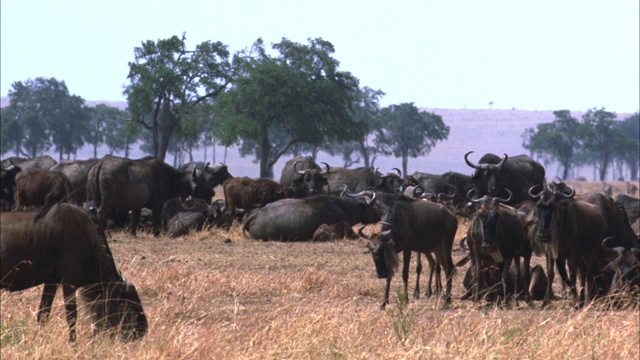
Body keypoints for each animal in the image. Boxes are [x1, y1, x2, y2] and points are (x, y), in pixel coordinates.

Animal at [0, 204, 148, 342]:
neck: (88, 240)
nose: (142, 331)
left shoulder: (51, 282)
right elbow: (71, 315)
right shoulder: (69, 283)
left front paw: (39, 339)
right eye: (129, 306)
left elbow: (44, 313)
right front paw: (73, 342)